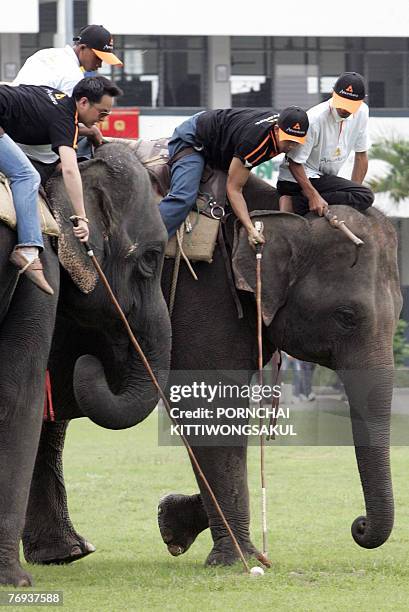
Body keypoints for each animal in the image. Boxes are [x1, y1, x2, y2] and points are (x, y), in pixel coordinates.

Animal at [0, 143, 171, 588]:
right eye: (151, 259)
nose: (90, 363)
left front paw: (66, 555)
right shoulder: (39, 261)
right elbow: (19, 393)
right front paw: (15, 579)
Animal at [11, 152, 400, 572]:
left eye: (399, 314)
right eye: (346, 316)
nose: (359, 526)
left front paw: (172, 521)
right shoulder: (203, 292)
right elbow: (209, 405)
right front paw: (236, 561)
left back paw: (65, 553)